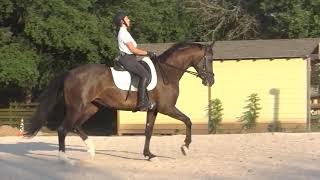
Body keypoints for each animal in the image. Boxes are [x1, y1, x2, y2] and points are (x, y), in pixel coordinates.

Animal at [24, 41, 215, 162]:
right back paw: (64, 159)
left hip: (91, 108)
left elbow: (148, 131)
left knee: (75, 126)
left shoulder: (153, 110)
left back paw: (91, 150)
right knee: (63, 129)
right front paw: (185, 147)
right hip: (77, 107)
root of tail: (69, 73)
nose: (211, 81)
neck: (166, 72)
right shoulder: (167, 108)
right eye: (208, 60)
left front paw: (149, 155)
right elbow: (188, 121)